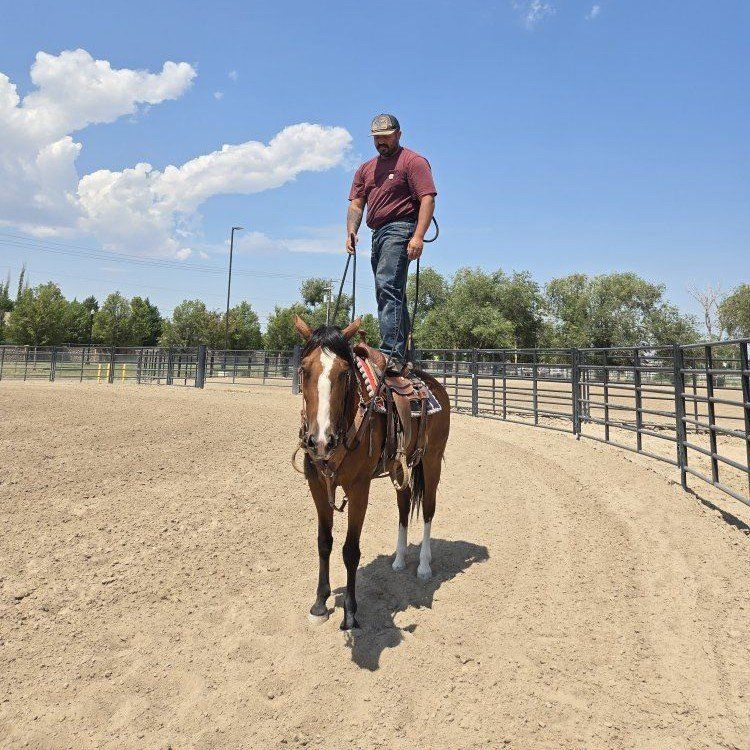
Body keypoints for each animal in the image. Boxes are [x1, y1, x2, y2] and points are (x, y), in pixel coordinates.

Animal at [293, 315, 451, 630]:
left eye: (345, 373)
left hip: (432, 461)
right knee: (404, 507)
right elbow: (324, 543)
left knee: (428, 509)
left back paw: (423, 566)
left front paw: (350, 613)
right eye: (304, 370)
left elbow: (350, 550)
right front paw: (319, 604)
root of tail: (432, 385)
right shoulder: (317, 486)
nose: (320, 441)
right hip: (400, 468)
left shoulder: (359, 488)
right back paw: (399, 560)